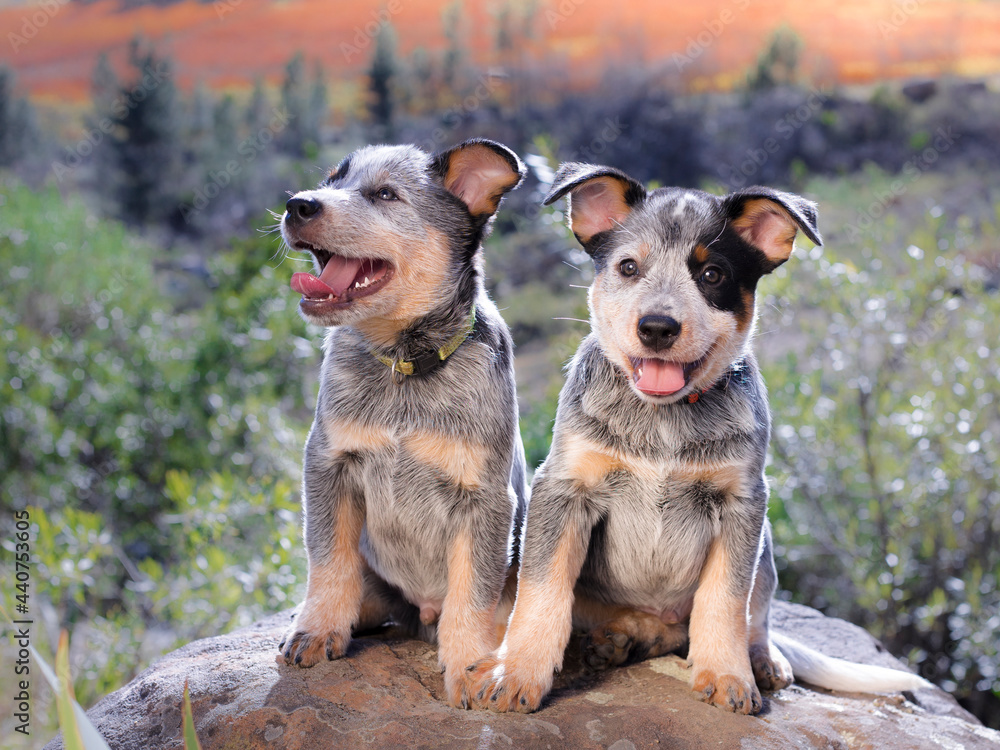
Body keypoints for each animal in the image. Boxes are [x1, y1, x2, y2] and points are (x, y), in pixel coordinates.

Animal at [280, 138, 532, 708]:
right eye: (331, 181)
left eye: (385, 195)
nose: (297, 204)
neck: (404, 367)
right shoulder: (329, 462)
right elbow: (328, 560)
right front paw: (317, 629)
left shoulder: (484, 497)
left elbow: (471, 594)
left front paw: (468, 667)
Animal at [468, 162, 928, 712]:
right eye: (628, 267)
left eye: (713, 275)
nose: (657, 327)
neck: (663, 420)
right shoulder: (564, 488)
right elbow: (542, 589)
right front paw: (516, 670)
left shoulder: (742, 503)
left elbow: (725, 599)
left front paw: (729, 673)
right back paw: (619, 637)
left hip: (766, 546)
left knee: (748, 615)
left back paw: (756, 657)